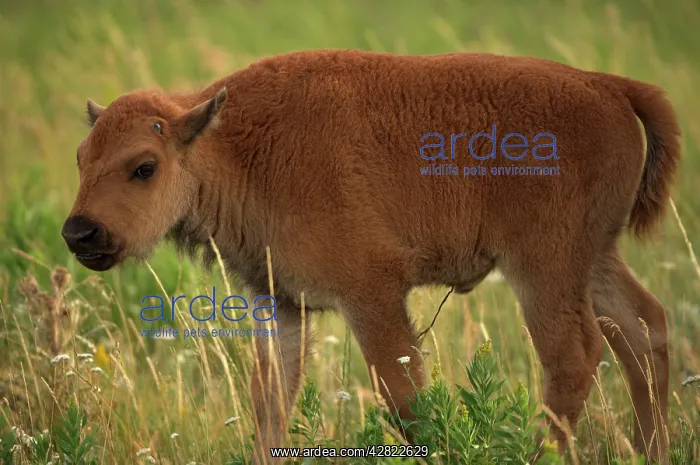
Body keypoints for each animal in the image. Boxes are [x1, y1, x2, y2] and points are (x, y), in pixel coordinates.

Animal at [61, 49, 680, 464]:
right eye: (81, 158)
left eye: (144, 165)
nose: (80, 233)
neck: (233, 146)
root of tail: (608, 87)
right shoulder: (279, 303)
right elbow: (271, 401)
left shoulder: (372, 295)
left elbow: (405, 399)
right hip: (594, 259)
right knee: (643, 329)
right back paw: (652, 450)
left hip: (543, 267)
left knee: (574, 357)